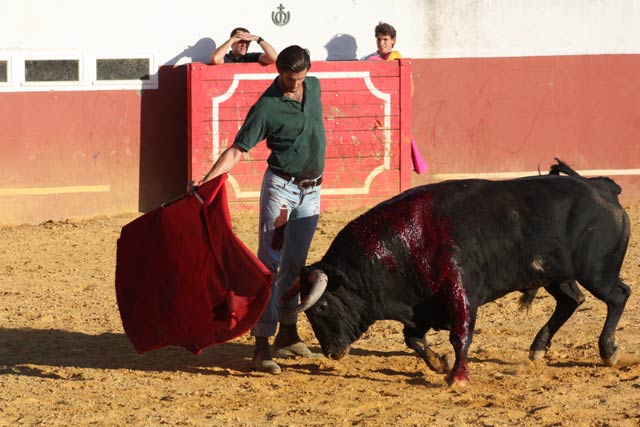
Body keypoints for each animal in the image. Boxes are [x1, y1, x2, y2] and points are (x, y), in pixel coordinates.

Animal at [284, 160, 632, 388]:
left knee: (618, 296)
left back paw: (609, 351)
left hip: (597, 271)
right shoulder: (421, 306)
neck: (399, 246)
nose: (332, 353)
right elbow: (413, 339)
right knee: (571, 301)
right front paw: (441, 364)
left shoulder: (460, 290)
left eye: (322, 307)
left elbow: (460, 333)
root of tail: (602, 187)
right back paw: (537, 349)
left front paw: (458, 377)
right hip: (556, 275)